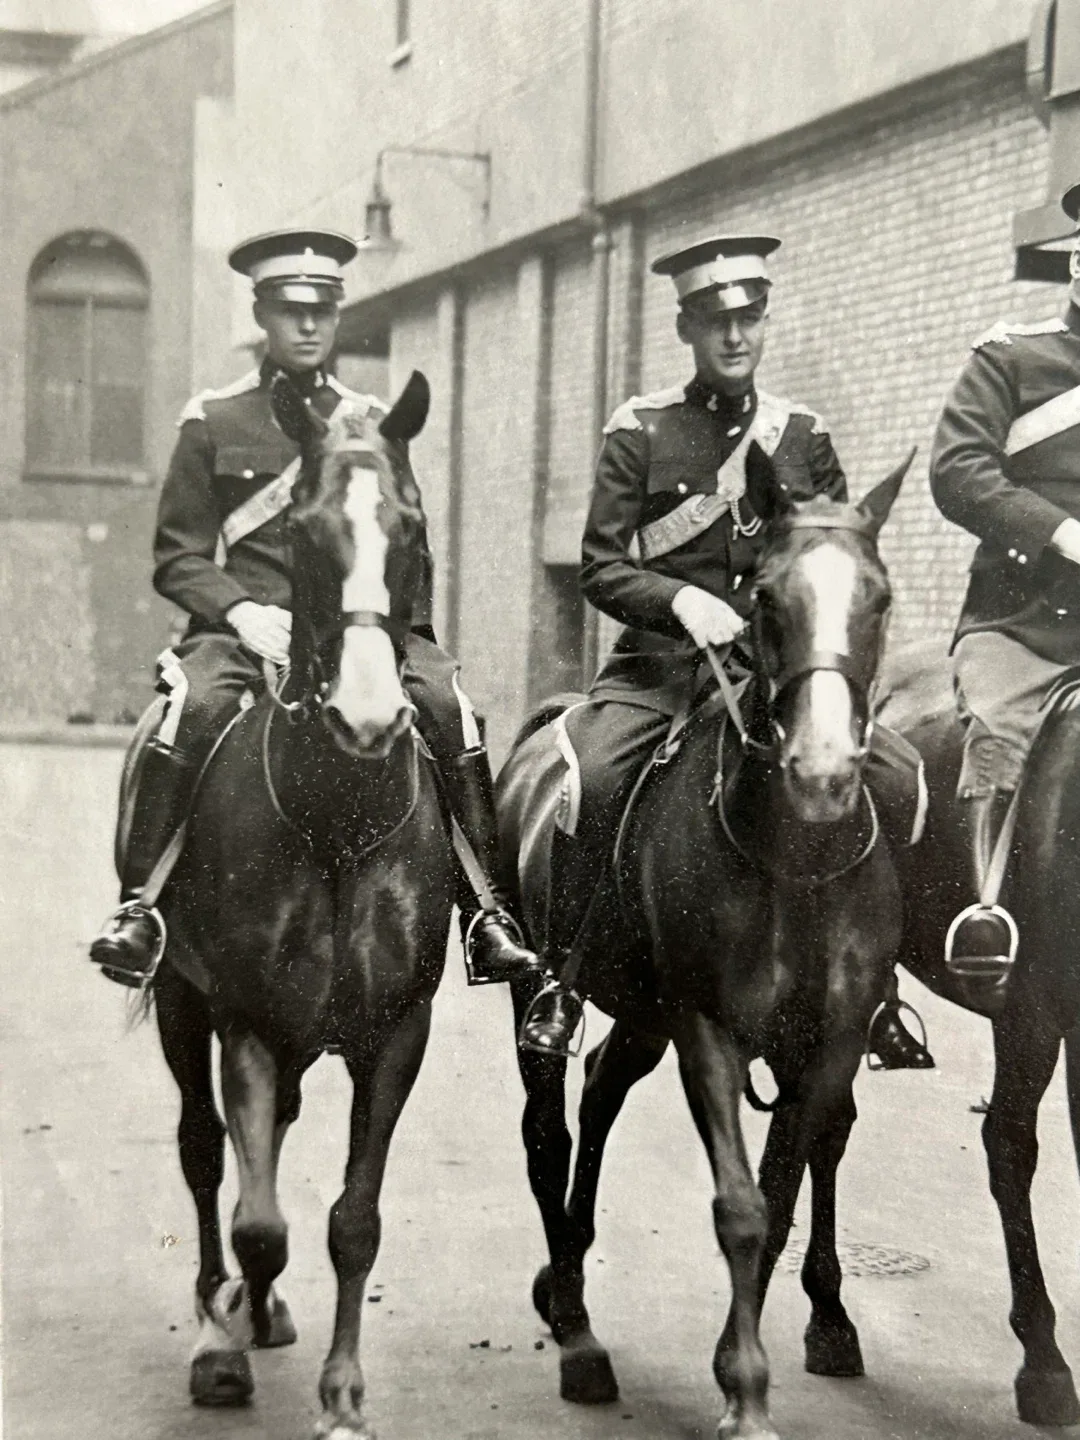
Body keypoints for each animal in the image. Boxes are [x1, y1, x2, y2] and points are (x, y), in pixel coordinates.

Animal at [128, 373, 456, 1439]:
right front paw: (223, 1347)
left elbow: (354, 1221)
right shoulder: (245, 1025)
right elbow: (259, 1220)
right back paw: (218, 1309)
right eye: (305, 530)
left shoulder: (395, 1035)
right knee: (203, 1155)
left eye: (412, 523)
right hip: (181, 1008)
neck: (336, 820)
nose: (369, 717)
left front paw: (343, 1393)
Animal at [496, 459, 913, 1440]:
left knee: (603, 1088)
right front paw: (746, 1388)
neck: (796, 860)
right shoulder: (707, 1031)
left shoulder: (826, 1045)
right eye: (762, 596)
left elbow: (783, 1191)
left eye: (878, 599)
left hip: (643, 1014)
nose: (823, 774)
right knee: (548, 1130)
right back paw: (577, 1334)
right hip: (543, 993)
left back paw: (566, 1275)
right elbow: (741, 1208)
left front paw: (755, 1364)